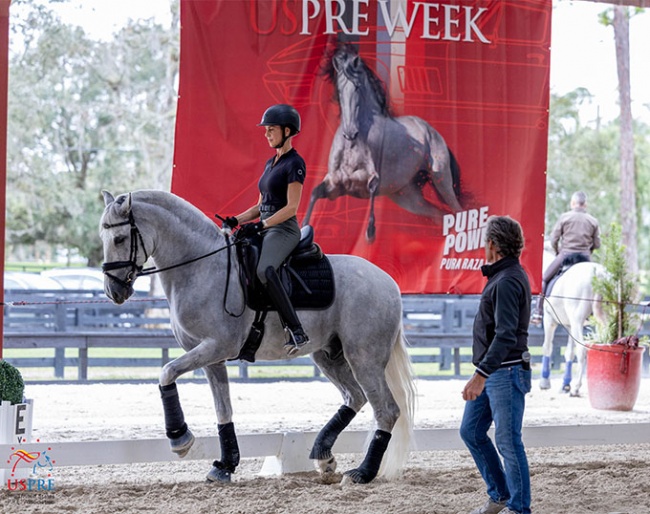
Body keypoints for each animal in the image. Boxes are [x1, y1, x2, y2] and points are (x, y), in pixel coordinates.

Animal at [100, 189, 416, 484]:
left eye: (119, 239)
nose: (113, 291)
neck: (201, 268)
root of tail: (388, 282)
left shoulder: (216, 347)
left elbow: (166, 372)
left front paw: (180, 438)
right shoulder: (211, 358)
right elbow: (223, 410)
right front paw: (225, 466)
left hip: (364, 358)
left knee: (386, 410)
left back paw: (362, 473)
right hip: (328, 355)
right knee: (355, 397)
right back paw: (323, 456)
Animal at [304, 45, 460, 241]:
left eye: (357, 87)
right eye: (339, 91)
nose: (350, 133)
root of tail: (431, 131)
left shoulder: (371, 177)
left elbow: (372, 186)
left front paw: (370, 232)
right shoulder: (335, 184)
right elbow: (314, 194)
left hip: (442, 180)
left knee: (458, 210)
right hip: (406, 196)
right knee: (439, 215)